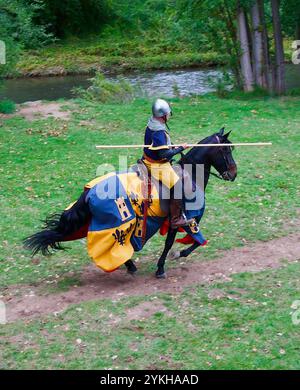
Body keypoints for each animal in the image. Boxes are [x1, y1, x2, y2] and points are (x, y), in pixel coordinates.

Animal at [24, 128, 237, 278]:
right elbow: (185, 242)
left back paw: (130, 265)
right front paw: (167, 263)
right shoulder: (185, 219)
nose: (234, 173)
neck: (190, 173)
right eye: (226, 150)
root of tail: (89, 192)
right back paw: (130, 265)